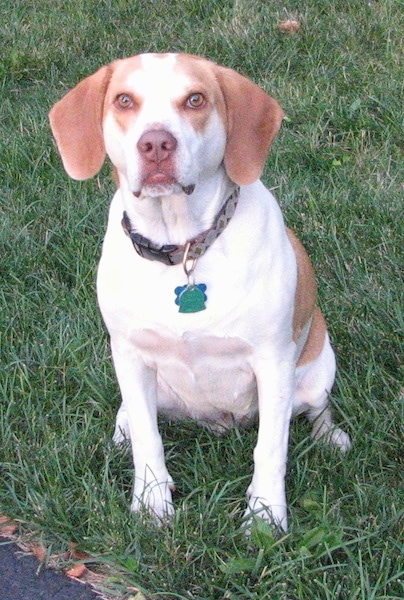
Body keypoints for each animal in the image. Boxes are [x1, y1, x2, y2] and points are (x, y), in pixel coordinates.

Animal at [49, 51, 350, 528]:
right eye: (124, 100)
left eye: (195, 99)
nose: (155, 144)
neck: (182, 246)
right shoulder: (130, 353)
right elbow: (148, 440)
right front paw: (152, 505)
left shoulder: (273, 361)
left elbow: (270, 449)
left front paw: (265, 518)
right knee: (133, 416)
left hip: (319, 366)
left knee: (317, 408)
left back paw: (332, 438)